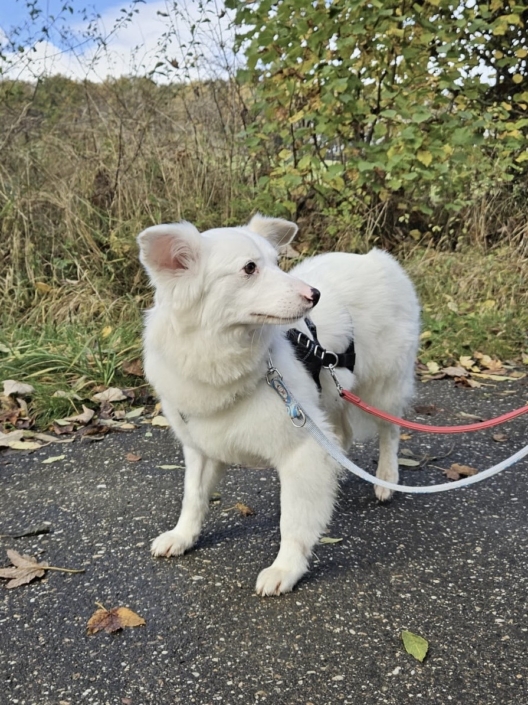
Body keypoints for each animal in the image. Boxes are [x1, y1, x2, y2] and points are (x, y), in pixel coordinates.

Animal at [137, 214, 420, 592]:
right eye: (250, 268)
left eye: (276, 262)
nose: (315, 295)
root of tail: (377, 259)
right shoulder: (200, 449)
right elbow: (193, 497)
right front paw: (183, 536)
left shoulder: (302, 449)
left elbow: (294, 520)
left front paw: (286, 569)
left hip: (382, 389)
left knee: (390, 432)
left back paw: (386, 478)